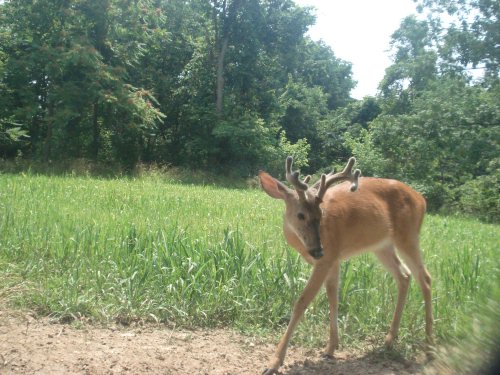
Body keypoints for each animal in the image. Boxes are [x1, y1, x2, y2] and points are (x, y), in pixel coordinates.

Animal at [260, 156, 432, 375]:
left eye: (321, 214)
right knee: (404, 275)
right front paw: (331, 348)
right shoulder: (333, 259)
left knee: (425, 277)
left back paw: (429, 346)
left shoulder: (327, 259)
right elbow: (333, 297)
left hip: (408, 235)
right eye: (301, 215)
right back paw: (389, 341)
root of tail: (422, 200)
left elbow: (302, 302)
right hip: (382, 245)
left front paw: (274, 362)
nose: (318, 251)